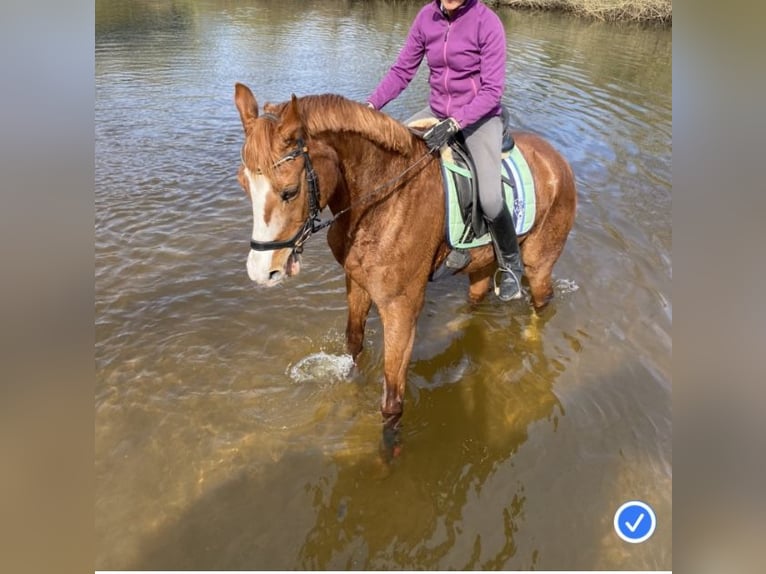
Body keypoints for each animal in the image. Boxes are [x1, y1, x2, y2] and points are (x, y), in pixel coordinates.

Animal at [234, 83, 576, 430]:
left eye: (289, 191)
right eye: (243, 184)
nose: (260, 271)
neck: (383, 200)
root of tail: (556, 158)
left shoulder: (400, 307)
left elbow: (392, 400)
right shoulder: (357, 284)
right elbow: (354, 348)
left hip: (539, 262)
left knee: (542, 303)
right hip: (480, 263)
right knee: (477, 298)